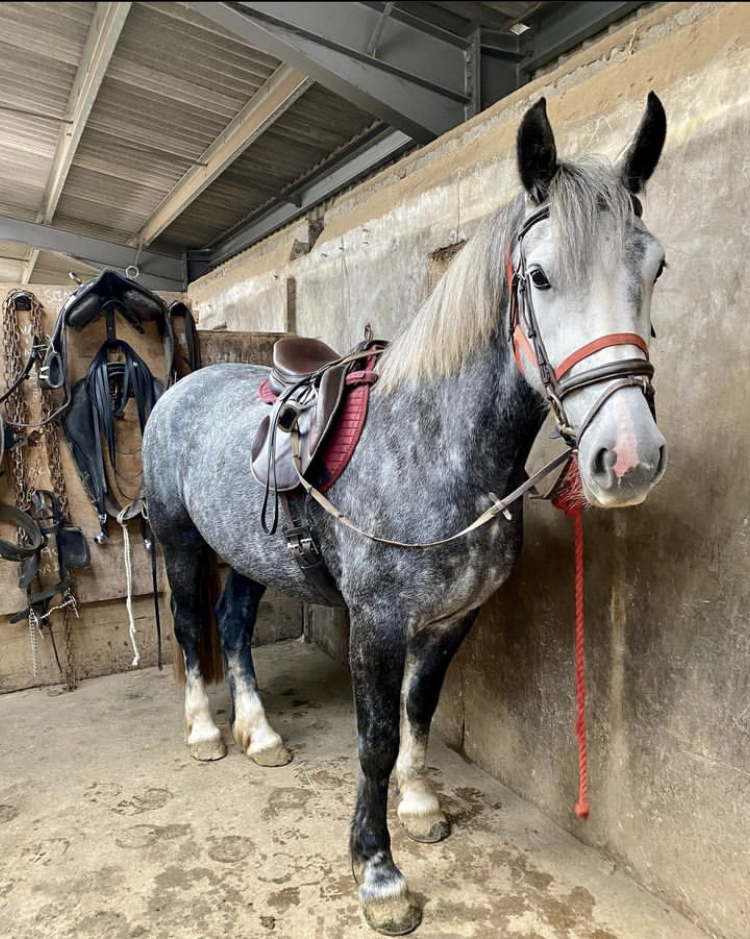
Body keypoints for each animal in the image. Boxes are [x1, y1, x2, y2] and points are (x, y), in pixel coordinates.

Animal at [142, 94, 669, 936]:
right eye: (540, 275)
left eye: (655, 267)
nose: (628, 456)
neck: (441, 448)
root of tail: (182, 387)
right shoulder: (379, 621)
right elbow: (377, 736)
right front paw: (379, 872)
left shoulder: (453, 618)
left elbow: (420, 709)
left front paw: (420, 806)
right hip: (181, 542)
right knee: (195, 627)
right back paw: (205, 730)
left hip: (254, 556)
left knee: (233, 625)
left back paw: (261, 733)